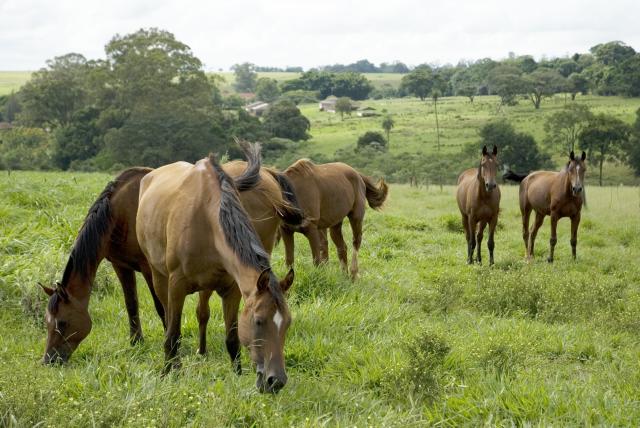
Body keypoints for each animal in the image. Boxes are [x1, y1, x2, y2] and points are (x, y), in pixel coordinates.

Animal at [138, 146, 296, 392]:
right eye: (258, 321)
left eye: (287, 323)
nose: (275, 381)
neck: (206, 219)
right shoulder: (177, 286)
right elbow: (173, 335)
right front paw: (169, 374)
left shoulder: (232, 290)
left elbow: (232, 339)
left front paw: (237, 376)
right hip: (158, 276)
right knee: (167, 317)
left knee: (202, 312)